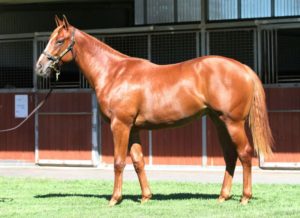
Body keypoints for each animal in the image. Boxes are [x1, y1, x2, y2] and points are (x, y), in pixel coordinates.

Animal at [36, 16, 274, 205]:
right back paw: (222, 196)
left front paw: (115, 199)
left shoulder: (120, 125)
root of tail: (243, 68)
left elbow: (119, 162)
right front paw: (145, 197)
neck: (114, 73)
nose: (40, 67)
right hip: (219, 123)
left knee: (244, 154)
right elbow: (138, 161)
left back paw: (244, 197)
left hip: (233, 123)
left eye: (59, 40)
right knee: (230, 156)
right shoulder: (133, 128)